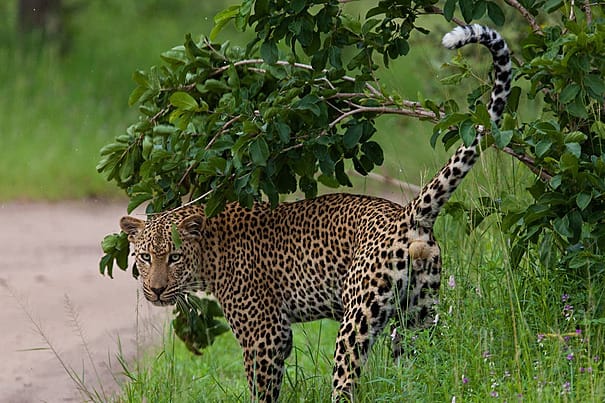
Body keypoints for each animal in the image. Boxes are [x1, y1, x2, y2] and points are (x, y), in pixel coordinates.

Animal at [120, 24, 512, 400]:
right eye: (144, 256)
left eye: (174, 257)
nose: (155, 290)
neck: (209, 255)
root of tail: (407, 215)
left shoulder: (265, 334)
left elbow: (262, 392)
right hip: (419, 314)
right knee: (420, 366)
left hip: (358, 317)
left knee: (346, 380)